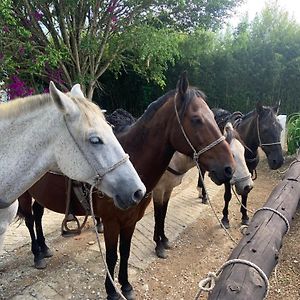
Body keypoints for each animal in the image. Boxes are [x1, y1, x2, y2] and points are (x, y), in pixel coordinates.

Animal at [18, 72, 237, 300]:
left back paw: (44, 248)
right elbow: (111, 256)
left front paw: (126, 285)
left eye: (213, 118)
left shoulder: (131, 220)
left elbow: (125, 252)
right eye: (196, 119)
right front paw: (112, 291)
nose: (229, 168)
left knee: (37, 215)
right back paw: (37, 255)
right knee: (30, 220)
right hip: (23, 194)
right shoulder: (112, 222)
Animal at [152, 122, 253, 258]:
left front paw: (164, 240)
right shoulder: (158, 190)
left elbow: (163, 214)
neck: (172, 160)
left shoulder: (168, 189)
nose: (248, 186)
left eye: (243, 151)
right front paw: (159, 246)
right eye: (232, 154)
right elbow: (158, 216)